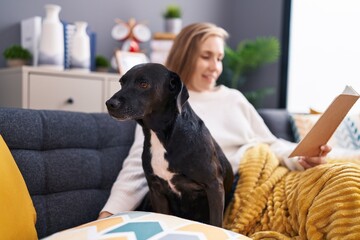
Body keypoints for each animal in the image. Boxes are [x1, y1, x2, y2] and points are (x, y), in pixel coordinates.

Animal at [105, 62, 233, 226]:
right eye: (122, 82)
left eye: (143, 84)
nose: (110, 103)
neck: (162, 137)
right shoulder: (156, 191)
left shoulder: (214, 186)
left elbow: (216, 223)